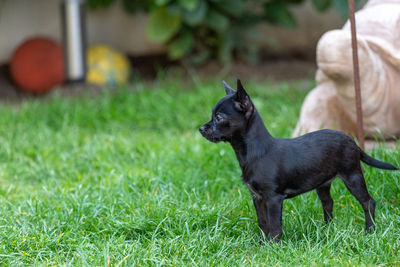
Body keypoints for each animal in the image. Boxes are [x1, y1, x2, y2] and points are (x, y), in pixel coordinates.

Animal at [200, 79, 396, 243]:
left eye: (219, 117)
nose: (201, 128)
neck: (253, 152)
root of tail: (352, 141)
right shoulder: (257, 197)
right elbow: (262, 222)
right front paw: (261, 242)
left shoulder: (273, 198)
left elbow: (274, 224)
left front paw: (272, 245)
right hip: (323, 184)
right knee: (328, 204)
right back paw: (326, 230)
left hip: (352, 176)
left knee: (368, 202)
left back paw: (370, 230)